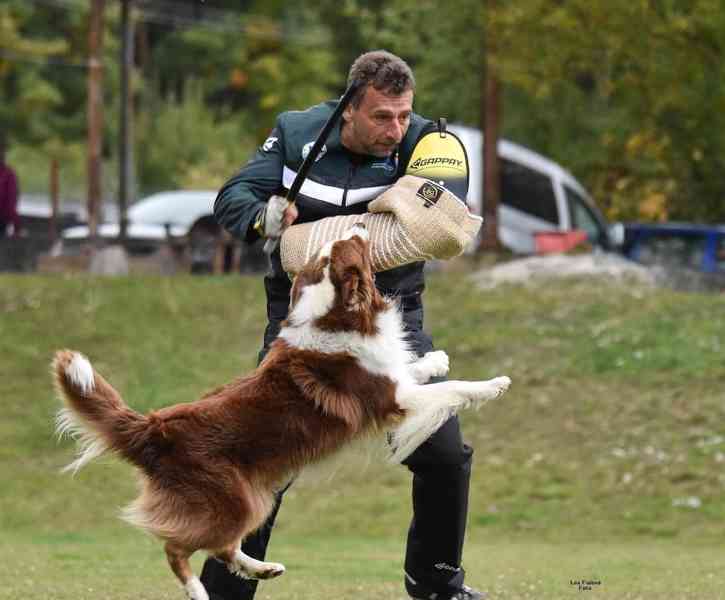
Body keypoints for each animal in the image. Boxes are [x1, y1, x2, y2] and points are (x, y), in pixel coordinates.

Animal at [52, 224, 510, 600]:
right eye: (348, 248)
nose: (361, 224)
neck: (335, 315)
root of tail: (154, 428)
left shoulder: (391, 382)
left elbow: (414, 370)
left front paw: (435, 359)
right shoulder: (389, 402)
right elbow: (449, 389)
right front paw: (491, 385)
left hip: (251, 498)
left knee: (223, 547)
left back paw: (263, 568)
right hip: (229, 498)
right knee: (177, 547)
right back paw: (198, 590)